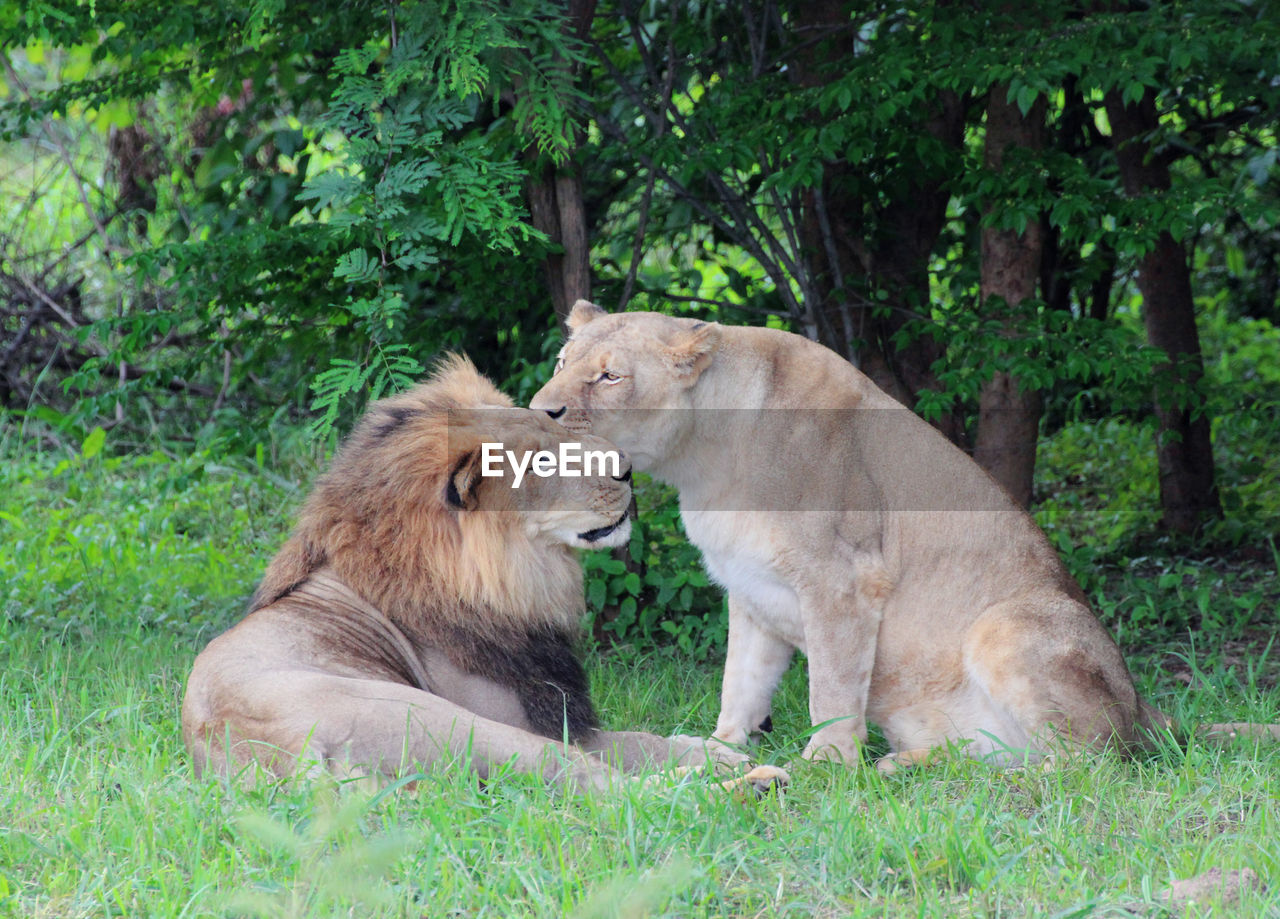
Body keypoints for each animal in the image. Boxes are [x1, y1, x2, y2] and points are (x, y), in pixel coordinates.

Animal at [181, 358, 742, 793]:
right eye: (540, 463)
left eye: (558, 431)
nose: (625, 469)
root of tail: (271, 754)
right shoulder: (535, 718)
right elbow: (630, 747)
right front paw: (712, 757)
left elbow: (645, 739)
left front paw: (711, 748)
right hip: (445, 719)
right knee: (600, 783)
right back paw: (726, 786)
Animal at [527, 305, 1269, 773]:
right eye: (560, 361)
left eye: (609, 375)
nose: (540, 411)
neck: (703, 462)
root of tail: (1145, 707)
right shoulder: (751, 591)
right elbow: (741, 683)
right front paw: (721, 748)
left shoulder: (842, 579)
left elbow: (831, 688)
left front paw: (826, 765)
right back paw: (906, 766)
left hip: (1008, 625)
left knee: (1088, 764)